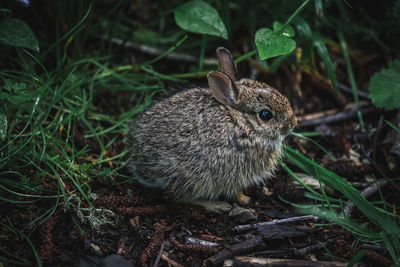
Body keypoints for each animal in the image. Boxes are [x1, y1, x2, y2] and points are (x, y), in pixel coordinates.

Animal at [129, 47, 296, 213]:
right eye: (265, 115)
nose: (292, 123)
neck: (242, 123)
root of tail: (141, 166)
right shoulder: (234, 173)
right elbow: (235, 190)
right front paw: (245, 199)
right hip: (192, 178)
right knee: (180, 197)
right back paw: (215, 205)